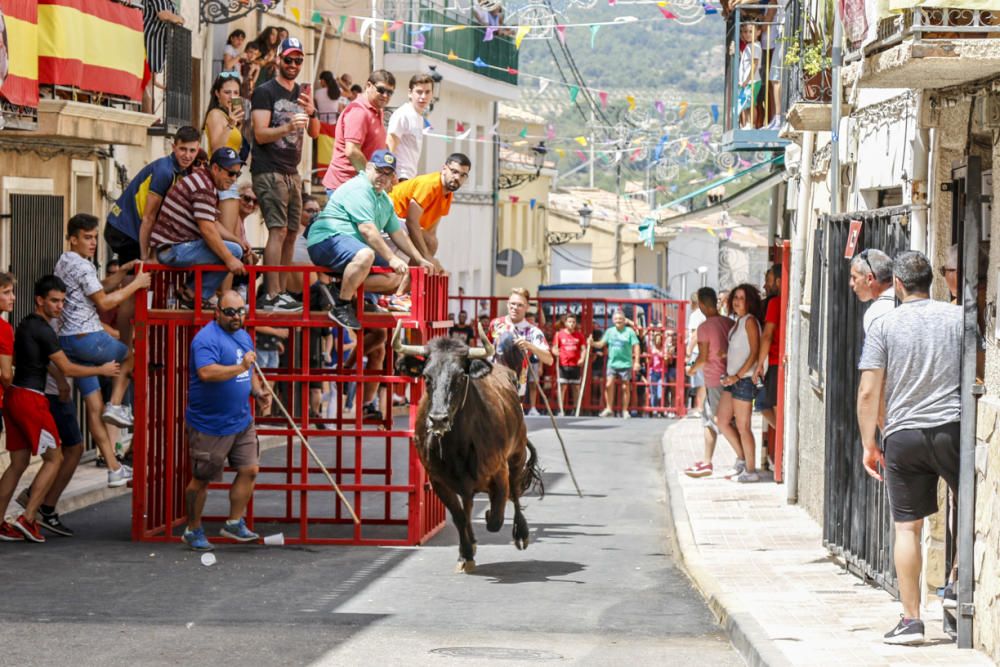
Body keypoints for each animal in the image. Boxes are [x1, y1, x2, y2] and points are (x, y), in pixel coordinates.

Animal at [392, 324, 548, 576]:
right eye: (426, 377)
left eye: (460, 376)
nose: (438, 419)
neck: (457, 445)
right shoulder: (439, 481)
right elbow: (460, 517)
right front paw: (466, 553)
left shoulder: (499, 472)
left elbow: (496, 517)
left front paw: (490, 520)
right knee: (468, 507)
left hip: (516, 456)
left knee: (515, 493)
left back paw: (521, 533)